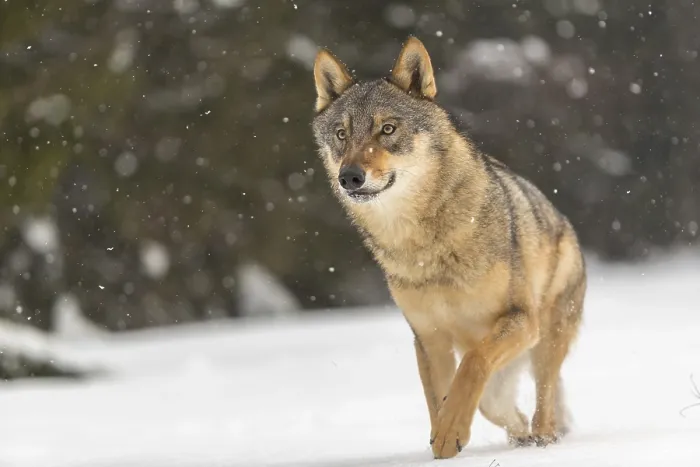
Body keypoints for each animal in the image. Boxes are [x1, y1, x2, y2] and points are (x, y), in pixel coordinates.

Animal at [310, 36, 586, 459]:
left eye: (387, 129)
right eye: (342, 134)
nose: (350, 177)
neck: (425, 246)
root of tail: (562, 221)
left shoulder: (520, 321)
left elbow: (471, 363)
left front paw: (450, 431)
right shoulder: (429, 339)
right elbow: (437, 397)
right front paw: (442, 438)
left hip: (546, 337)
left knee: (545, 396)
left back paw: (543, 439)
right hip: (507, 372)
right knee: (503, 408)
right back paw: (521, 439)